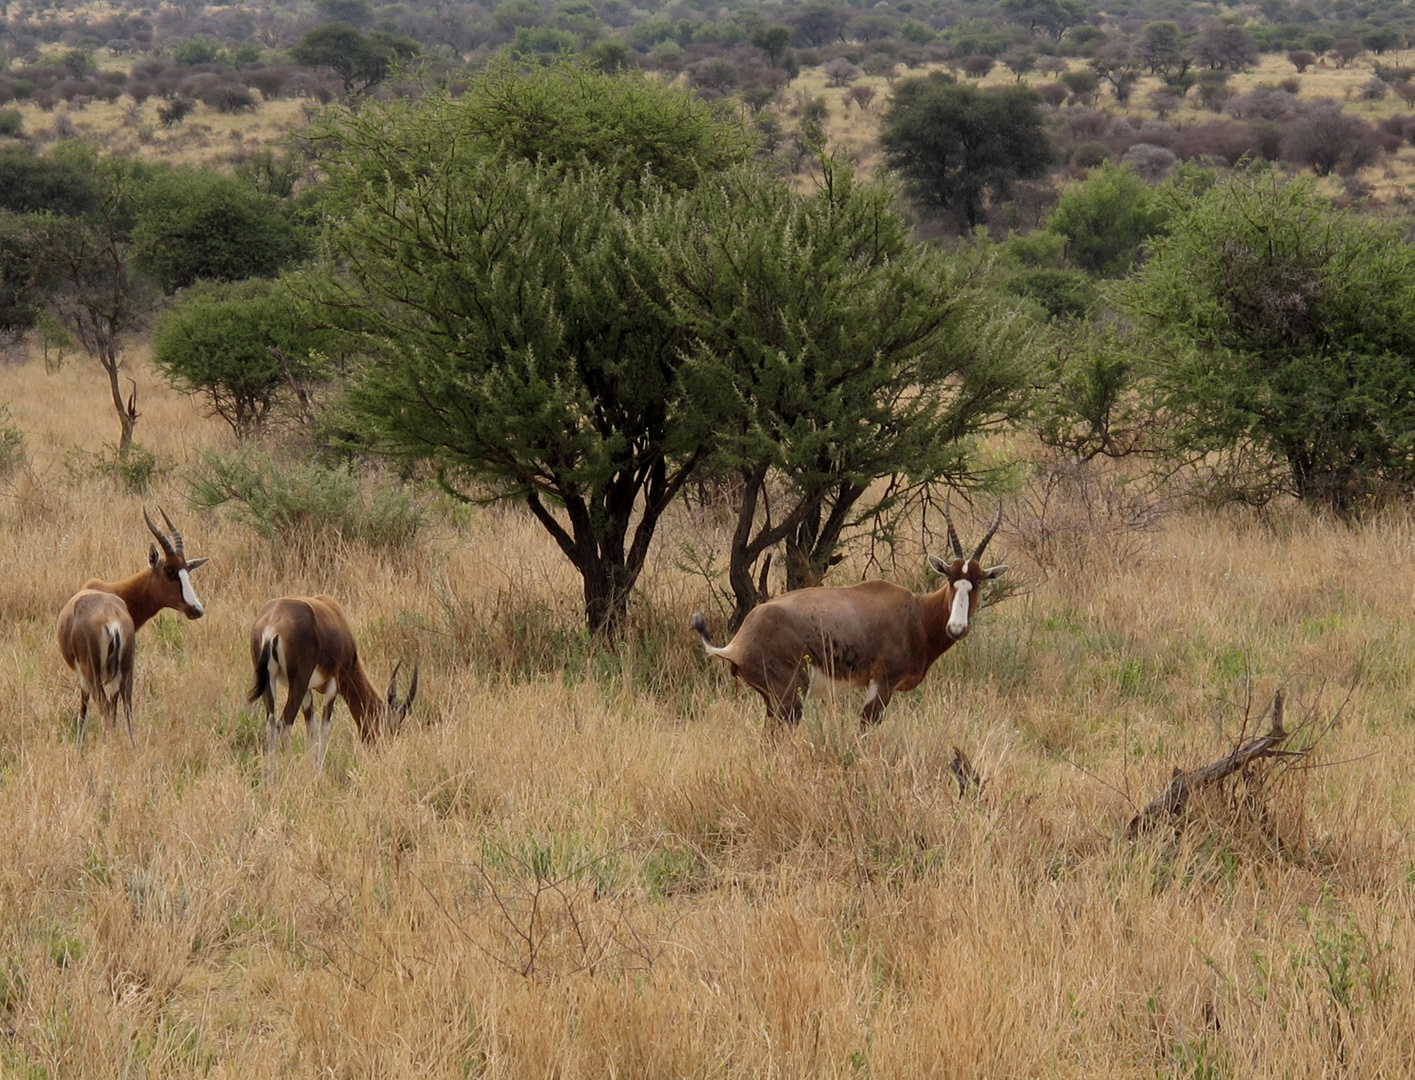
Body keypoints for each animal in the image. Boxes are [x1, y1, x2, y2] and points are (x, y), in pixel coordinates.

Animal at [56, 506, 209, 741]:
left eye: (186, 572)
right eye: (171, 572)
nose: (197, 609)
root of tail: (111, 621)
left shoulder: (83, 676)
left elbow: (83, 716)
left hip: (95, 674)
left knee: (105, 709)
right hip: (126, 669)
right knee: (126, 709)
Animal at [249, 600, 416, 770]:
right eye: (392, 728)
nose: (382, 753)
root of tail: (272, 626)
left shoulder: (308, 690)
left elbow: (312, 727)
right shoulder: (334, 683)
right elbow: (325, 727)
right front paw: (319, 771)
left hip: (270, 682)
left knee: (271, 724)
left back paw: (271, 774)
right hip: (298, 683)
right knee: (284, 724)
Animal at [693, 509, 1007, 730]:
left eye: (977, 582)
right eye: (951, 579)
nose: (957, 628)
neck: (916, 612)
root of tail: (737, 642)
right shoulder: (882, 684)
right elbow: (865, 728)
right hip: (789, 698)